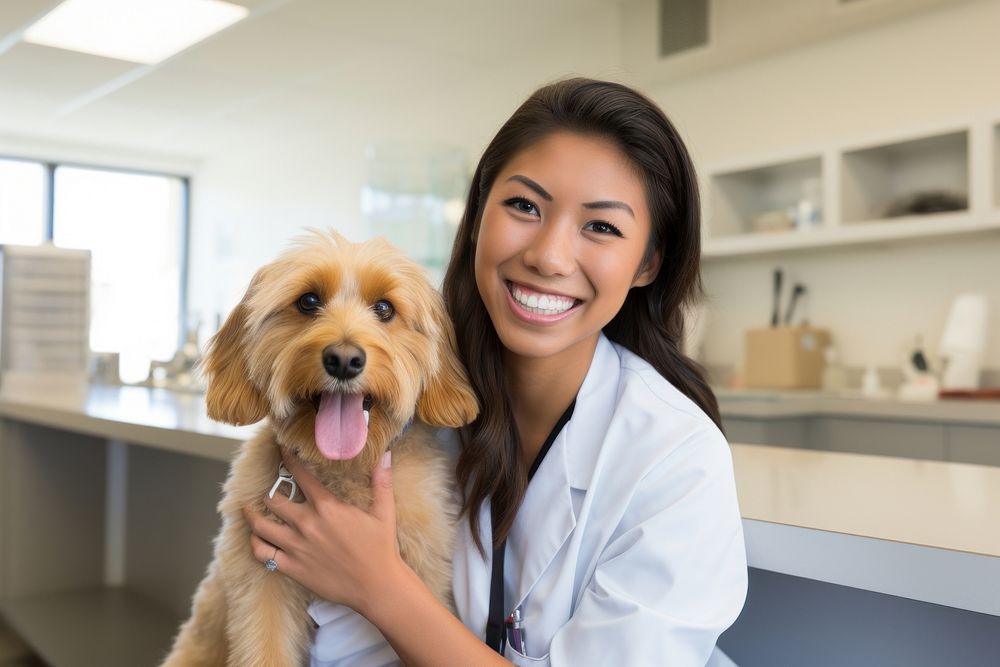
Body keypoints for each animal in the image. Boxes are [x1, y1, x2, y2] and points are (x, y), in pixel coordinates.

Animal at [160, 231, 476, 667]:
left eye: (384, 308)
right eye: (308, 301)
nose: (344, 360)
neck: (342, 466)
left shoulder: (425, 567)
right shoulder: (262, 579)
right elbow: (266, 648)